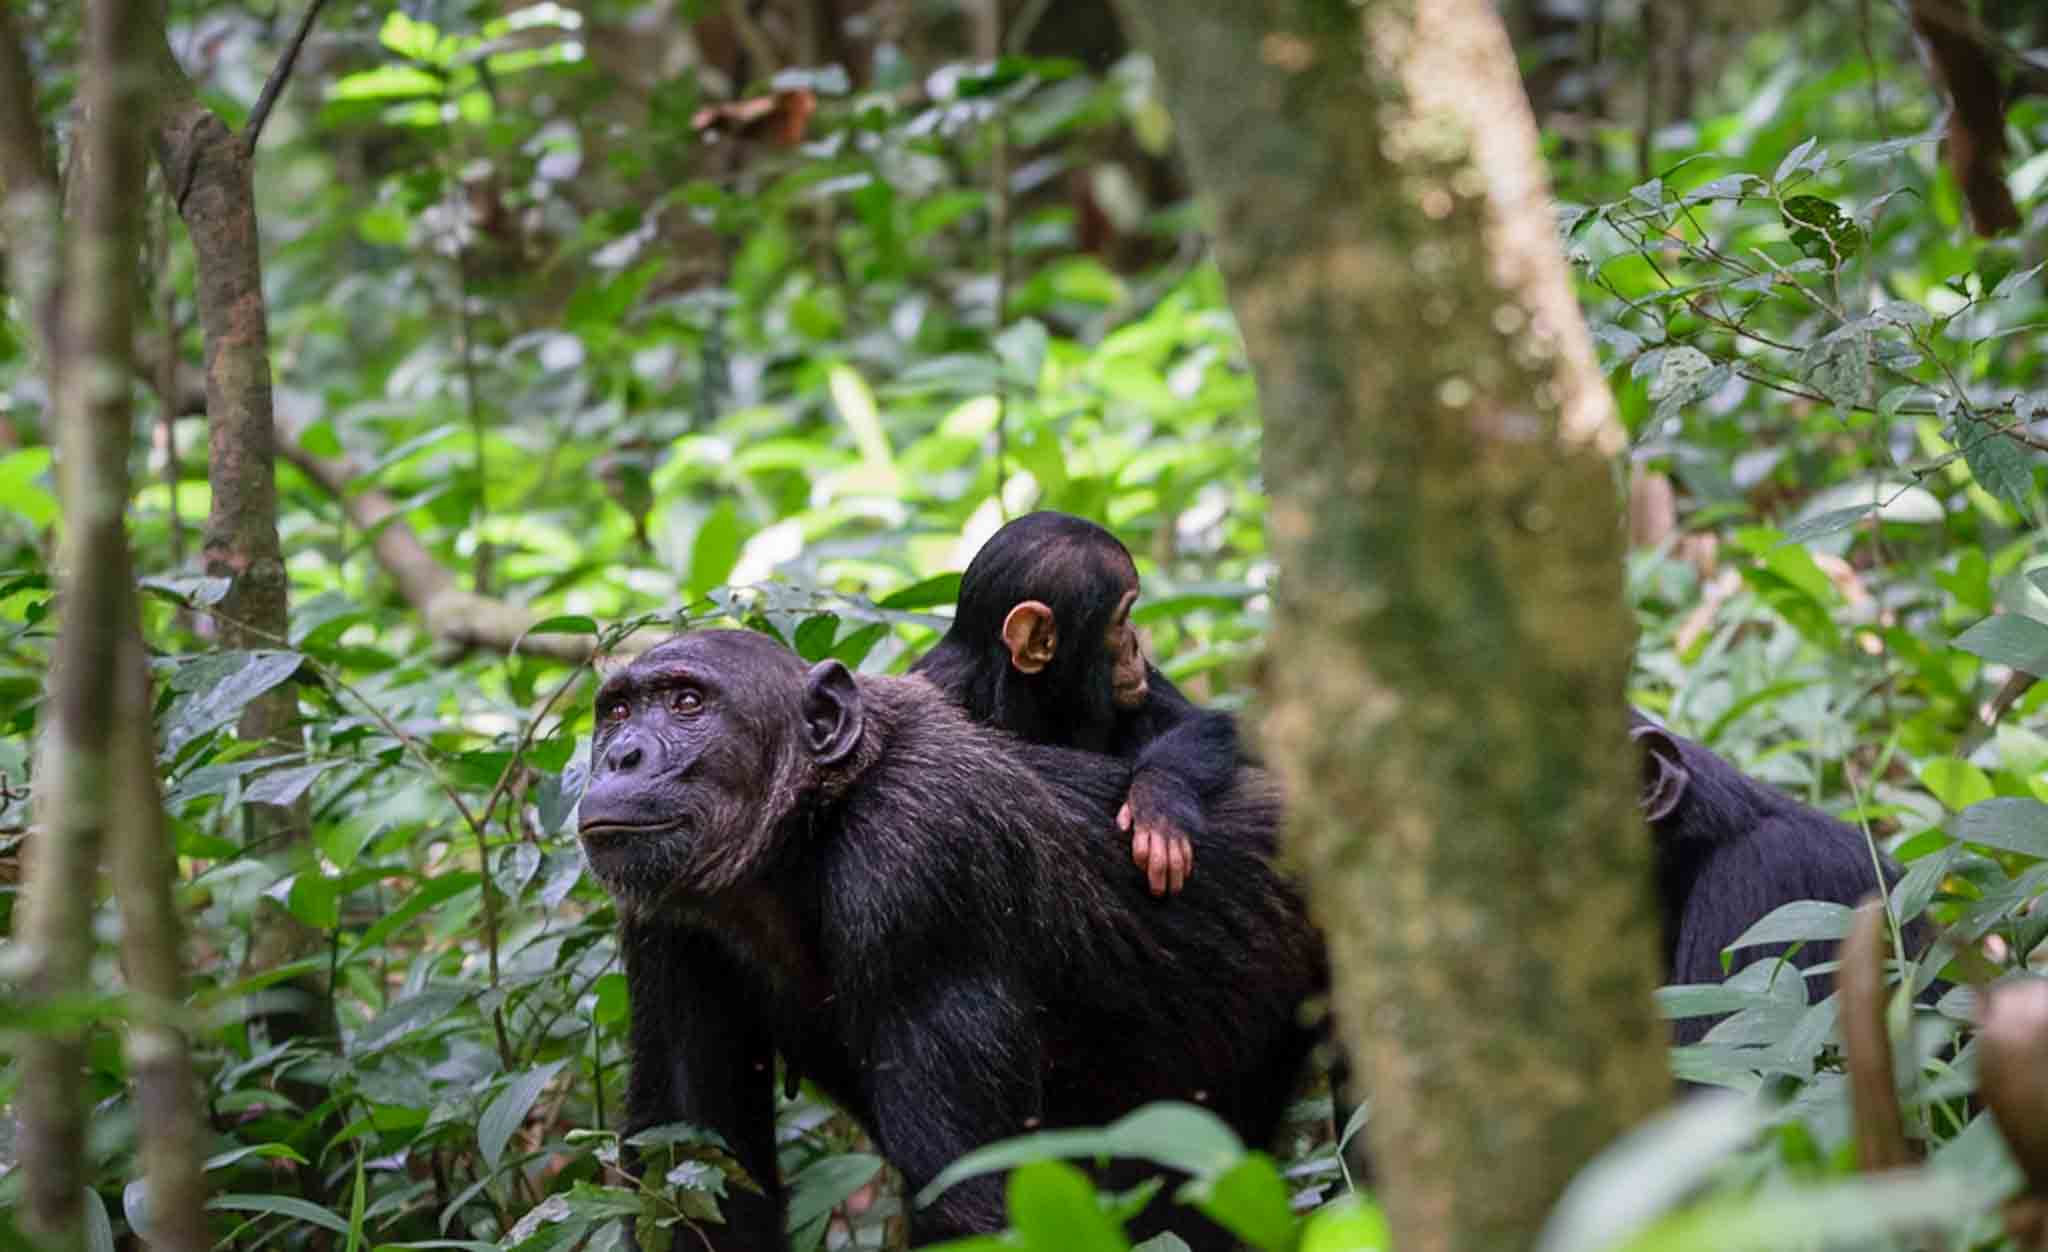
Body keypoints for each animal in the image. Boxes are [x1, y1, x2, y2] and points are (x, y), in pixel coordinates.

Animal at [573, 635, 1327, 1252]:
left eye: (687, 702)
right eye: (617, 711)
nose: (621, 756)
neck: (808, 830)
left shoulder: (919, 863)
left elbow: (966, 1197)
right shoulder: (662, 925)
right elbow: (694, 1169)